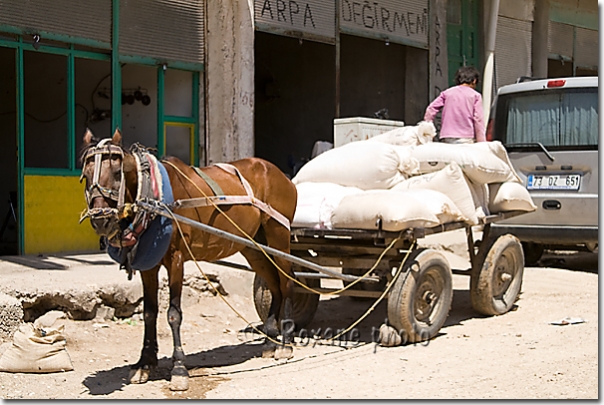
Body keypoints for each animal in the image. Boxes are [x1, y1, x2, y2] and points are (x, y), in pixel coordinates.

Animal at [80, 129, 298, 388]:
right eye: (84, 176)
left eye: (116, 172)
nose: (100, 220)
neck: (154, 198)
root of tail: (282, 175)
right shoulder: (148, 266)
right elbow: (149, 313)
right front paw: (144, 363)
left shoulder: (176, 260)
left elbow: (173, 314)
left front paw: (179, 368)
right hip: (253, 246)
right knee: (273, 285)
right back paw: (269, 340)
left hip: (278, 236)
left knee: (286, 283)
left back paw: (285, 342)